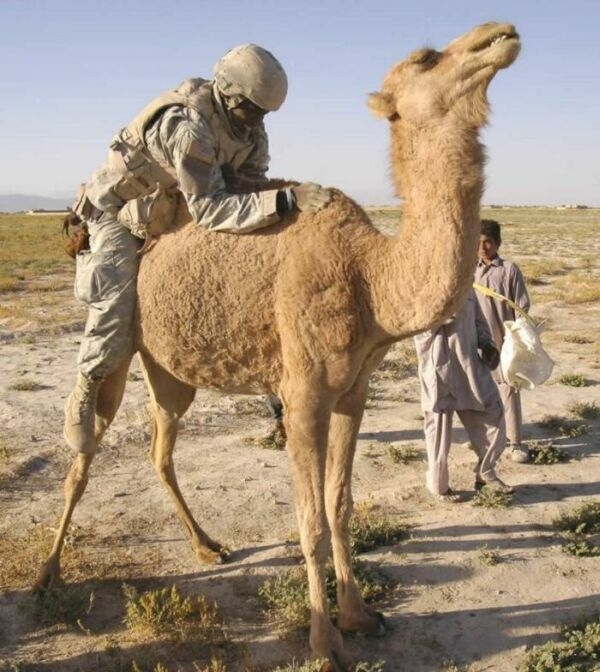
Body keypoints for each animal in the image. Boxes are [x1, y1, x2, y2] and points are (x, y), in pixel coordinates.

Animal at [36, 22, 520, 670]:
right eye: (425, 57)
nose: (501, 33)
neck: (372, 275)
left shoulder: (352, 393)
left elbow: (340, 504)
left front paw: (359, 616)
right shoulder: (303, 394)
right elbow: (309, 518)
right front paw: (324, 643)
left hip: (171, 370)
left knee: (161, 446)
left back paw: (208, 546)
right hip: (115, 318)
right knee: (87, 436)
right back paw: (47, 574)